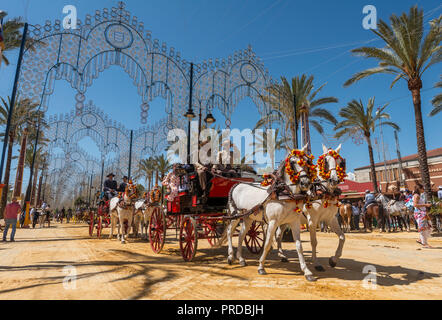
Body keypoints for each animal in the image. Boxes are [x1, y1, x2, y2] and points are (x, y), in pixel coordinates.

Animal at [224, 144, 318, 282]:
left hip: (248, 218)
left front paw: (307, 272)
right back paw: (230, 256)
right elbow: (267, 243)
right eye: (293, 162)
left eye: (307, 161)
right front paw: (261, 266)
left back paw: (241, 259)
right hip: (235, 216)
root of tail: (237, 184)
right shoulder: (273, 222)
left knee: (241, 235)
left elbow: (299, 246)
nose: (305, 183)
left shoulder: (294, 222)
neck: (285, 193)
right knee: (230, 232)